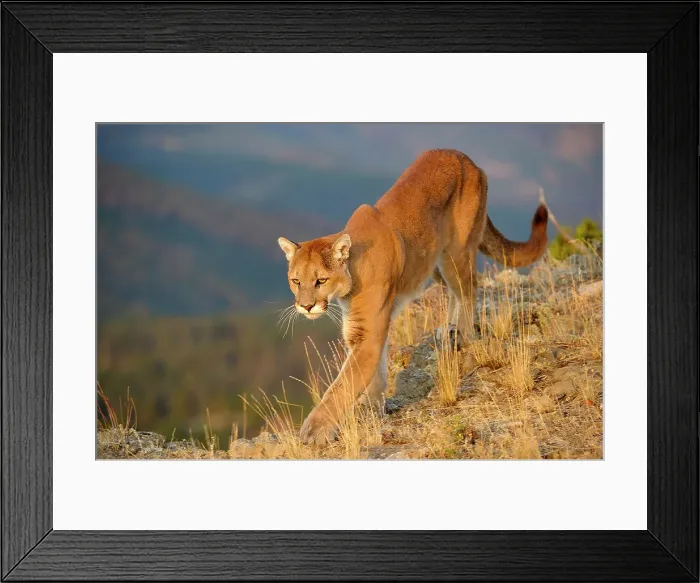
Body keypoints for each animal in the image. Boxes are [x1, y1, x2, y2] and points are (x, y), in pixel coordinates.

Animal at [277, 149, 549, 445]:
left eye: (321, 280)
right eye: (295, 281)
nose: (306, 306)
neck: (353, 270)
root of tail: (467, 158)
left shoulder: (368, 333)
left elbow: (342, 385)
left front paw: (314, 430)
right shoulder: (363, 330)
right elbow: (374, 372)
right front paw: (374, 408)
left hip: (456, 252)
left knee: (469, 288)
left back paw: (463, 333)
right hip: (435, 262)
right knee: (453, 291)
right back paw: (448, 329)